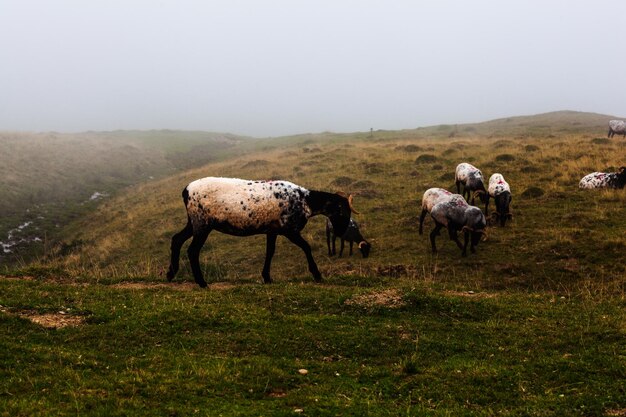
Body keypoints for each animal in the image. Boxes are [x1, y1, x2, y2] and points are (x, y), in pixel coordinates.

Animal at [166, 176, 356, 286]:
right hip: (202, 223)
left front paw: (267, 278)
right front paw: (317, 274)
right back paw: (201, 282)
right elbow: (306, 247)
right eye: (342, 211)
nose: (341, 232)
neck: (306, 202)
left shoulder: (272, 230)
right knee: (192, 250)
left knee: (177, 239)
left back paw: (171, 273)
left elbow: (270, 251)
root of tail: (186, 190)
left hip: (194, 221)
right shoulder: (289, 229)